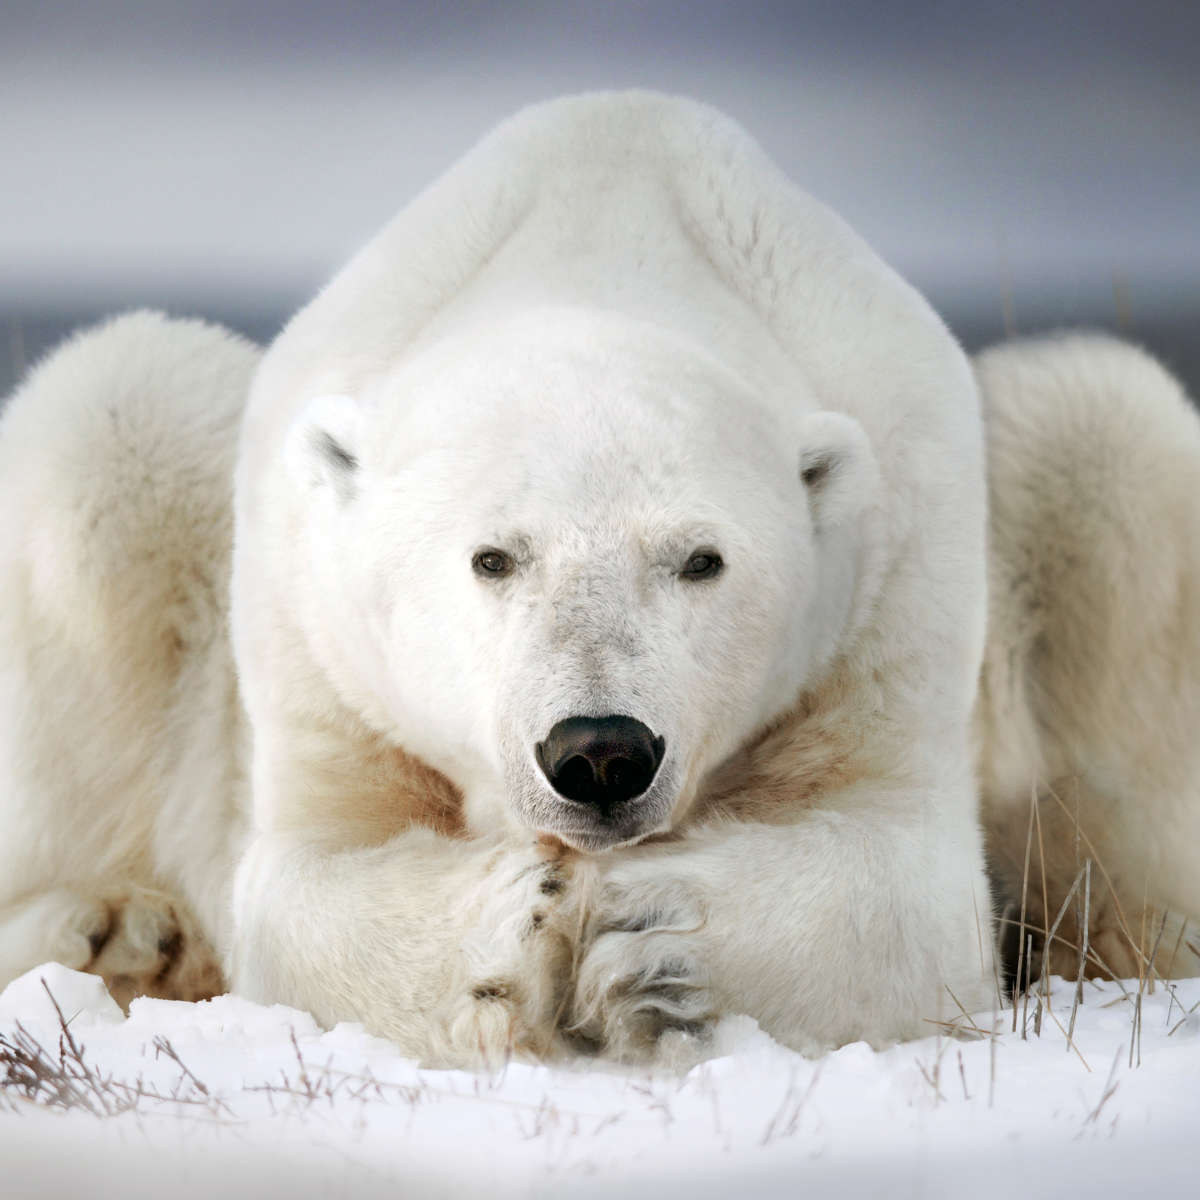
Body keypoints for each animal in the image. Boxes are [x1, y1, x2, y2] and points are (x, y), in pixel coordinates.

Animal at [0, 92, 1194, 1066]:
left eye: (702, 560)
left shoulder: (890, 577)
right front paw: (518, 925)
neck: (604, 238)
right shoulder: (318, 638)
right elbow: (307, 880)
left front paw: (653, 937)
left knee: (1107, 441)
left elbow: (906, 878)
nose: (601, 752)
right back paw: (120, 933)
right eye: (492, 557)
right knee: (114, 416)